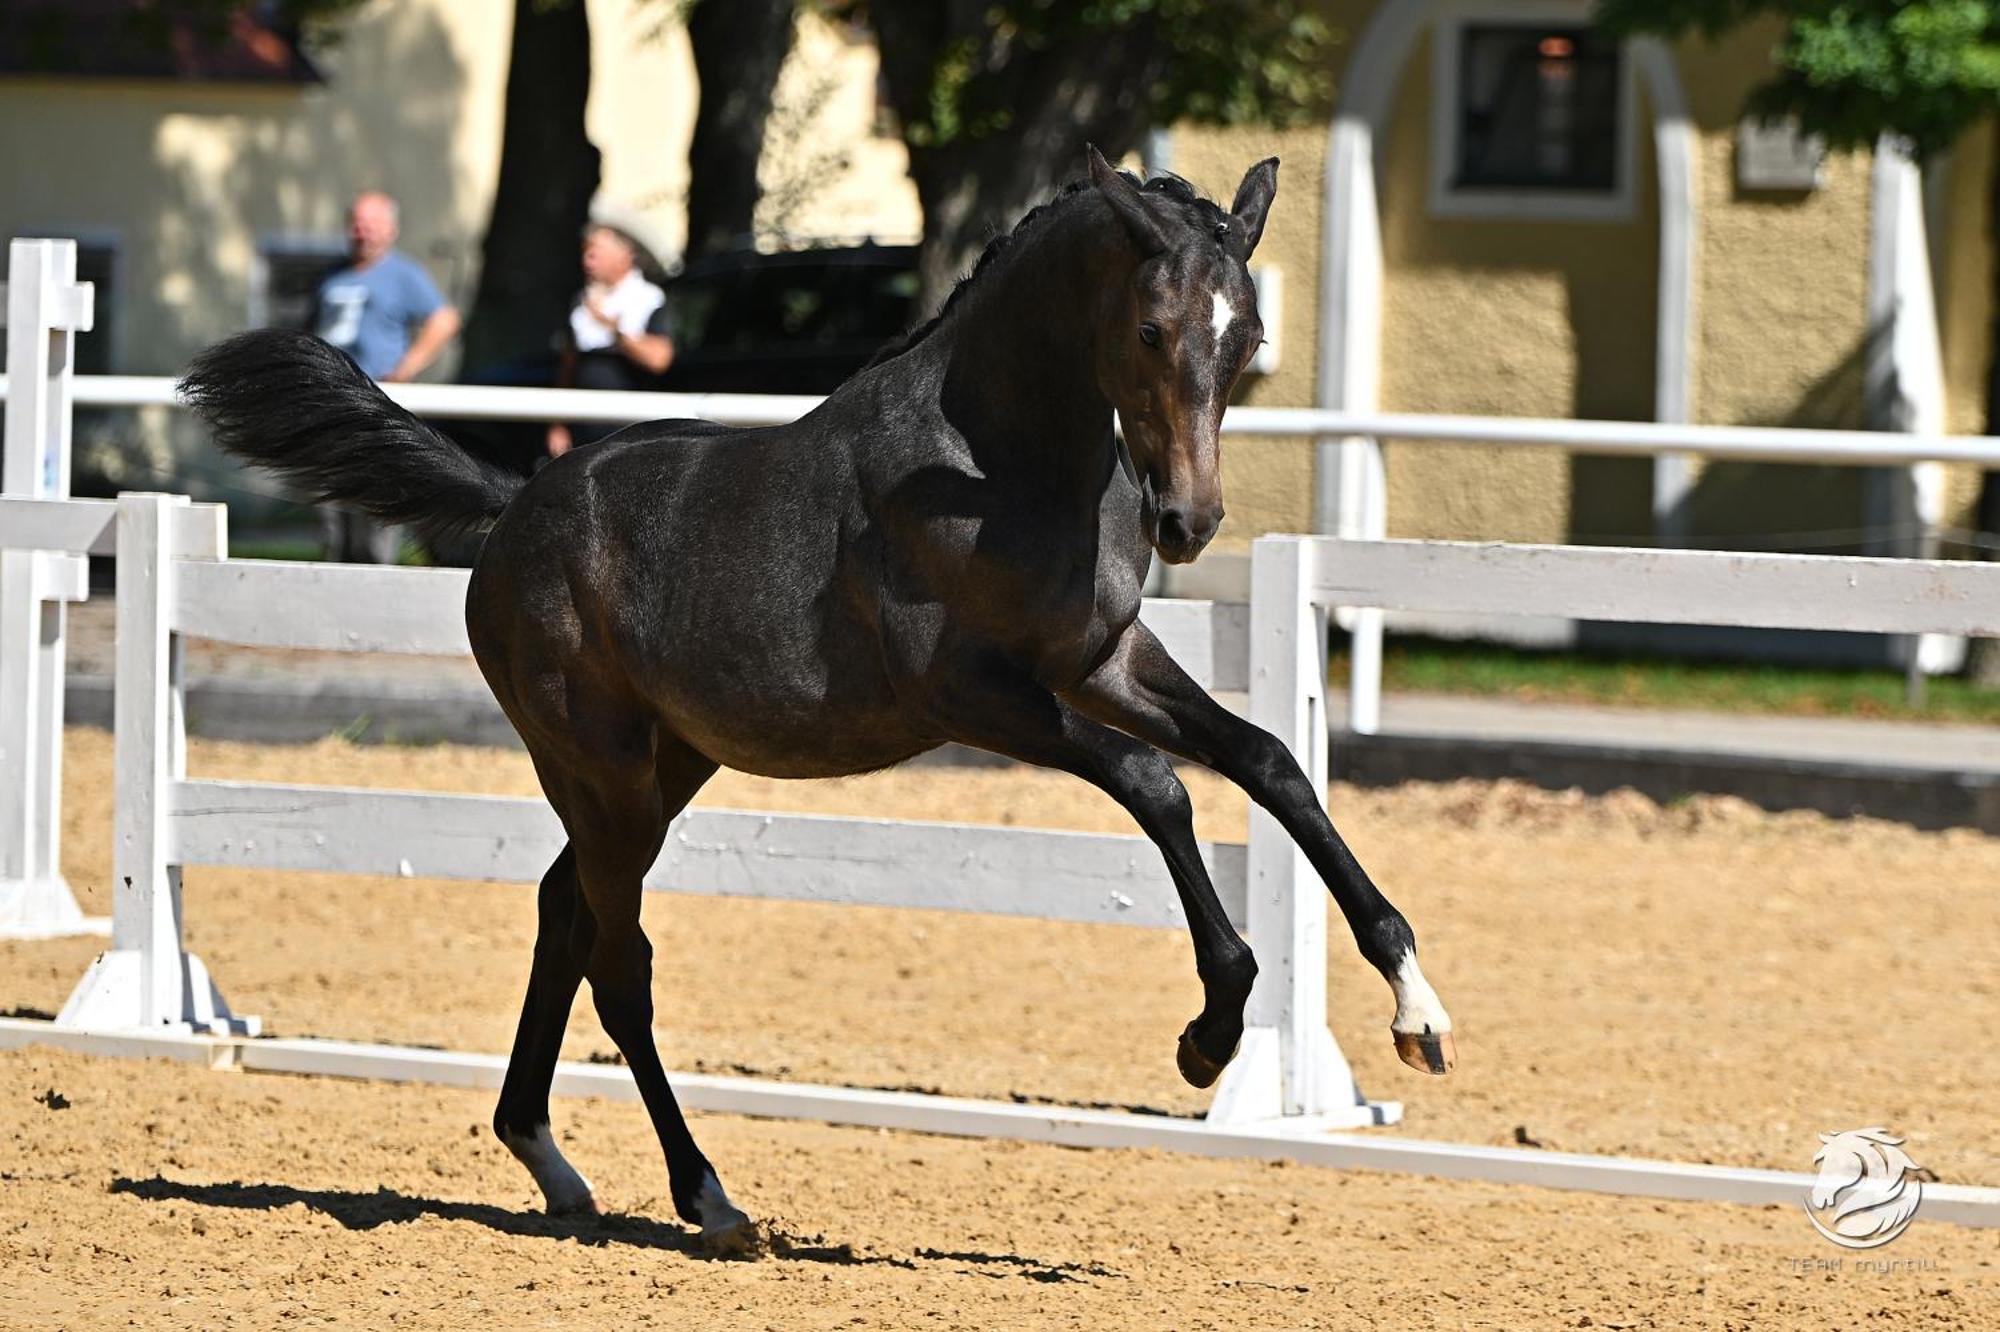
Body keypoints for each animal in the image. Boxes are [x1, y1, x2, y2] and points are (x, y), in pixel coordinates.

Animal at [180, 148, 1456, 1248]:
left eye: (1246, 339)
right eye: (1148, 329)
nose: (1187, 521)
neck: (998, 462)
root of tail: (512, 506)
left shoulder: (1101, 662)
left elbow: (1267, 760)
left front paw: (1415, 1010)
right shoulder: (972, 694)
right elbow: (1160, 788)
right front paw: (1209, 1030)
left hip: (665, 765)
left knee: (563, 912)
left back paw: (548, 1160)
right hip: (598, 765)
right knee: (620, 963)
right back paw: (708, 1200)